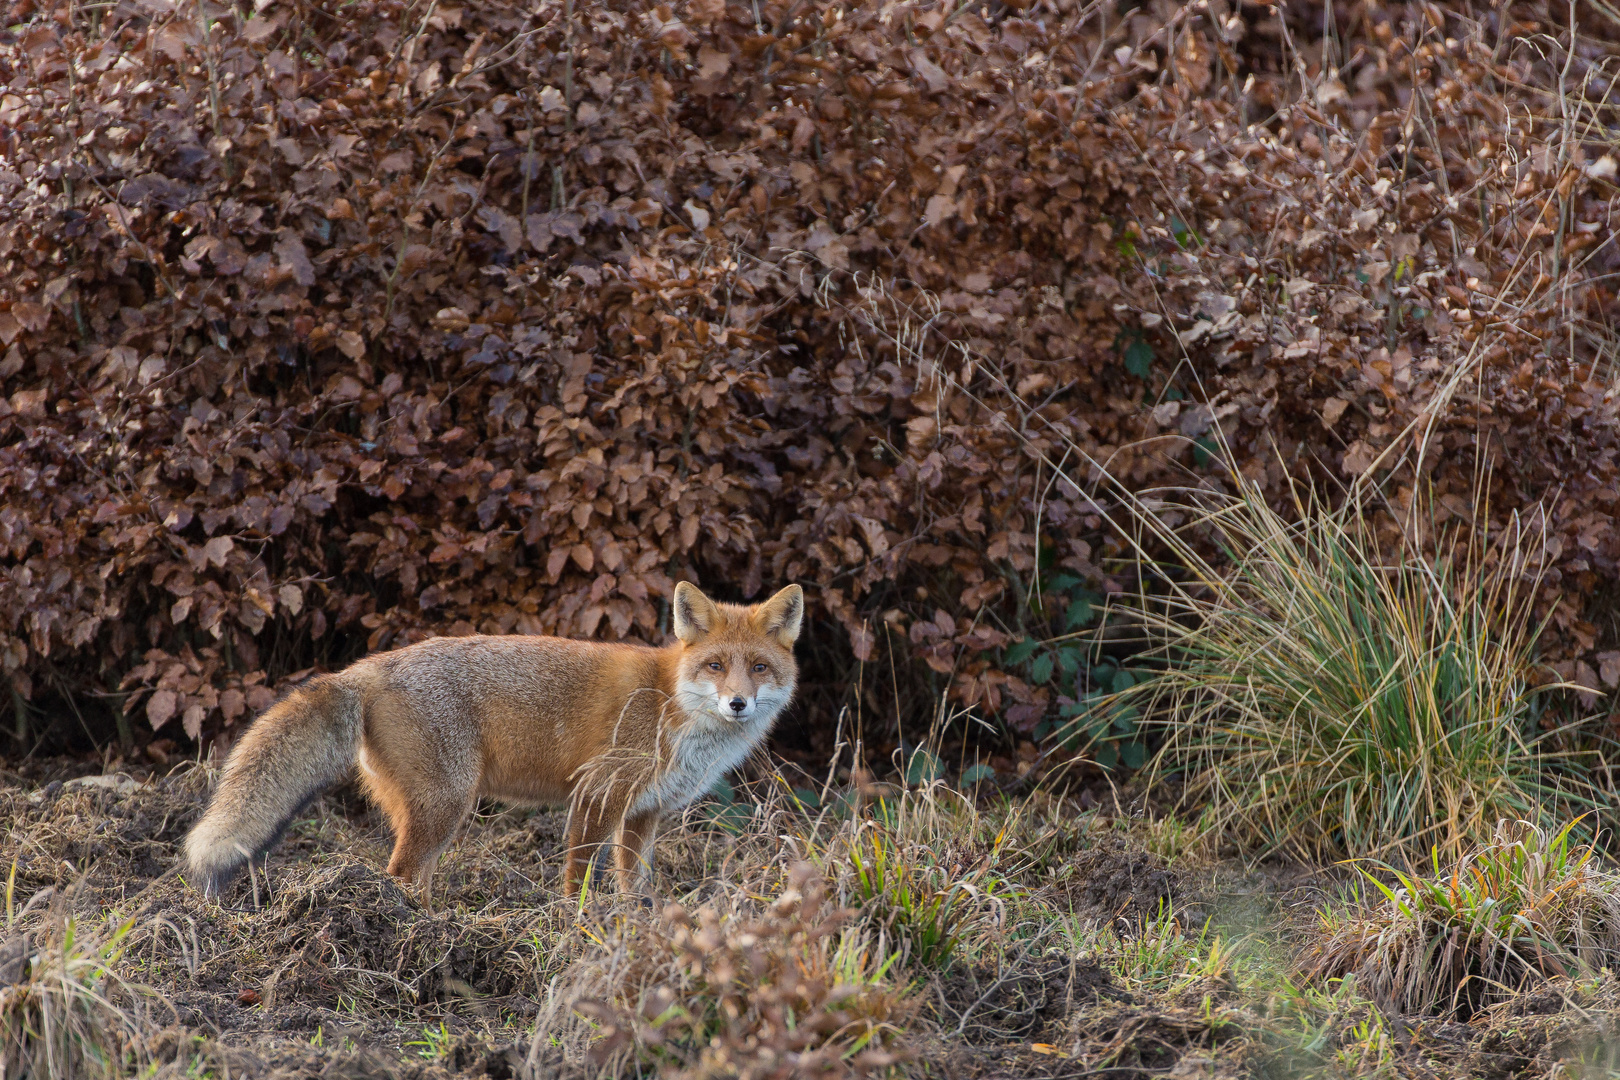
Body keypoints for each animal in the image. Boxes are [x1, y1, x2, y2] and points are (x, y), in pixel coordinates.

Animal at [183, 586, 803, 900]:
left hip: (428, 811)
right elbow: (578, 879)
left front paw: (634, 936)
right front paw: (575, 933)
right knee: (400, 875)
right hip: (447, 804)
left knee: (414, 877)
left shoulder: (643, 814)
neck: (671, 704)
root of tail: (364, 669)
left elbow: (635, 889)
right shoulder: (597, 795)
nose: (738, 703)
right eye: (716, 665)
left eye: (759, 668)